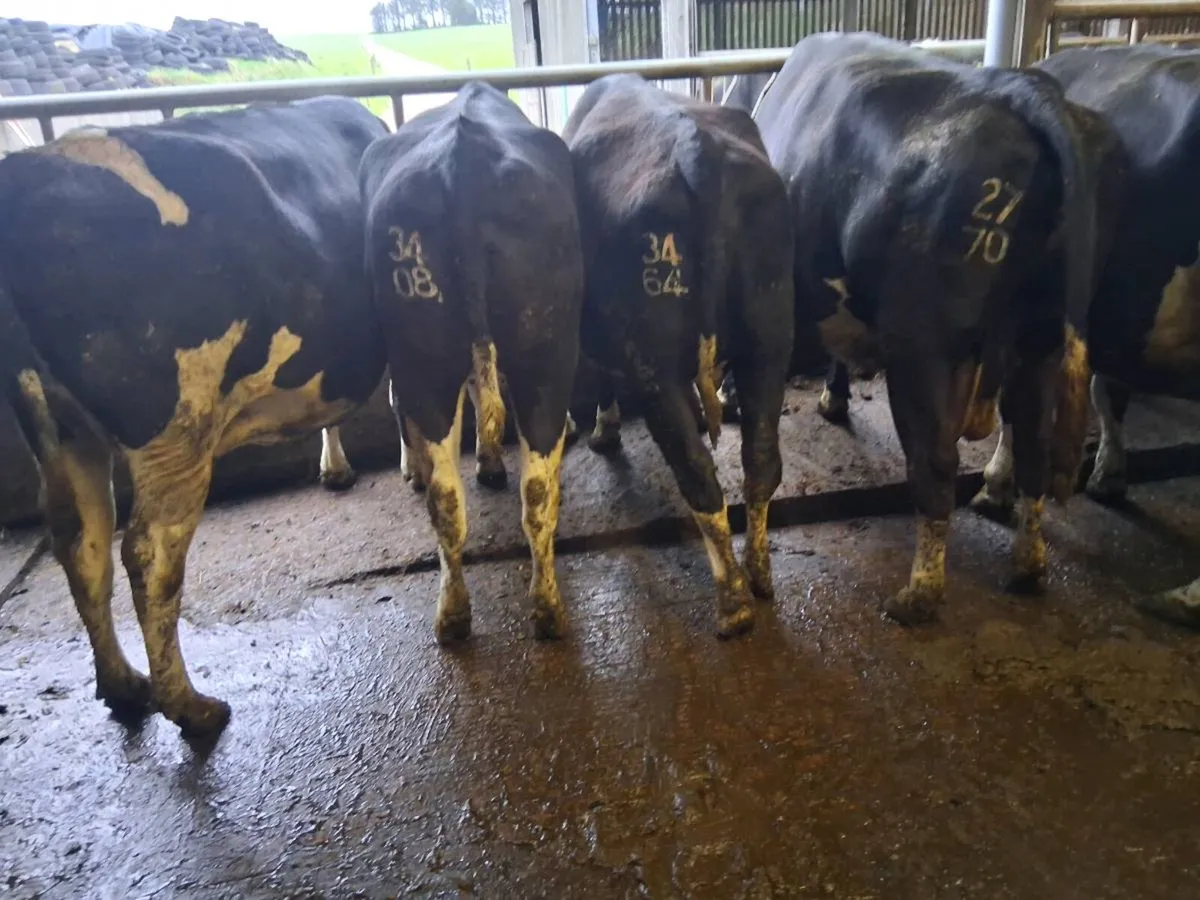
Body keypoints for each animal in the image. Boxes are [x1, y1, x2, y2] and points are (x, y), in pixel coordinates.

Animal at [0, 96, 390, 736]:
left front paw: (337, 466)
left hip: (60, 428)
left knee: (81, 541)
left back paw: (124, 685)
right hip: (174, 427)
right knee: (150, 552)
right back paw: (190, 706)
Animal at [360, 82, 583, 642]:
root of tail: (461, 161)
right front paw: (488, 460)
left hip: (426, 349)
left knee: (446, 493)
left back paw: (456, 613)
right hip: (545, 348)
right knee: (533, 487)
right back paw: (541, 609)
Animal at [562, 73, 794, 638]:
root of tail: (698, 150)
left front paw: (604, 430)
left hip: (654, 366)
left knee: (697, 472)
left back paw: (732, 605)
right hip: (769, 341)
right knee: (761, 461)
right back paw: (758, 578)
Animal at [749, 32, 1102, 624]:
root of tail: (1018, 88)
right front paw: (832, 399)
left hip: (922, 345)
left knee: (936, 463)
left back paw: (919, 594)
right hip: (1040, 336)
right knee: (1033, 448)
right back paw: (1028, 568)